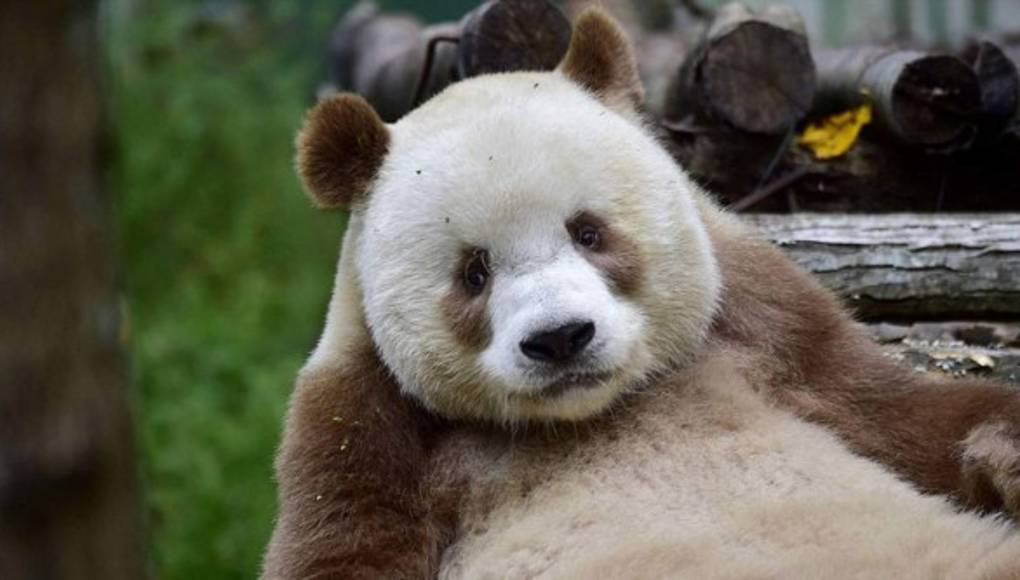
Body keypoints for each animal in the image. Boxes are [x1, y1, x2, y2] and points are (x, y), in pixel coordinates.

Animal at [262, 8, 1020, 579]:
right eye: (474, 273)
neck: (593, 413)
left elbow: (896, 411)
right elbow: (346, 545)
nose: (561, 338)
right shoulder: (365, 422)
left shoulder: (766, 329)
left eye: (589, 232)